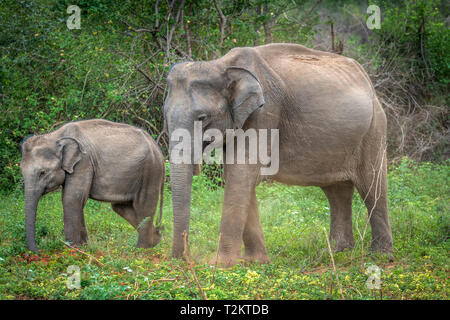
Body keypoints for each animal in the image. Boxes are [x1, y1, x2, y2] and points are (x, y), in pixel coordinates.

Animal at [20, 119, 165, 251]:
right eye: (21, 170)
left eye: (42, 172)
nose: (38, 251)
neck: (55, 136)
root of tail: (158, 148)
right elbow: (76, 200)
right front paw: (84, 247)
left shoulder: (83, 162)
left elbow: (71, 199)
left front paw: (73, 250)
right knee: (121, 207)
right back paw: (156, 240)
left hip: (150, 171)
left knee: (144, 207)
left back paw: (142, 250)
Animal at [163, 43, 392, 266]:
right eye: (165, 114)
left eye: (202, 117)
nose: (184, 259)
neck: (220, 65)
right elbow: (238, 176)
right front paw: (255, 261)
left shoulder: (265, 112)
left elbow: (241, 174)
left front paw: (220, 264)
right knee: (337, 191)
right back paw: (339, 252)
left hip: (374, 129)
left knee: (372, 186)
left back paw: (380, 256)